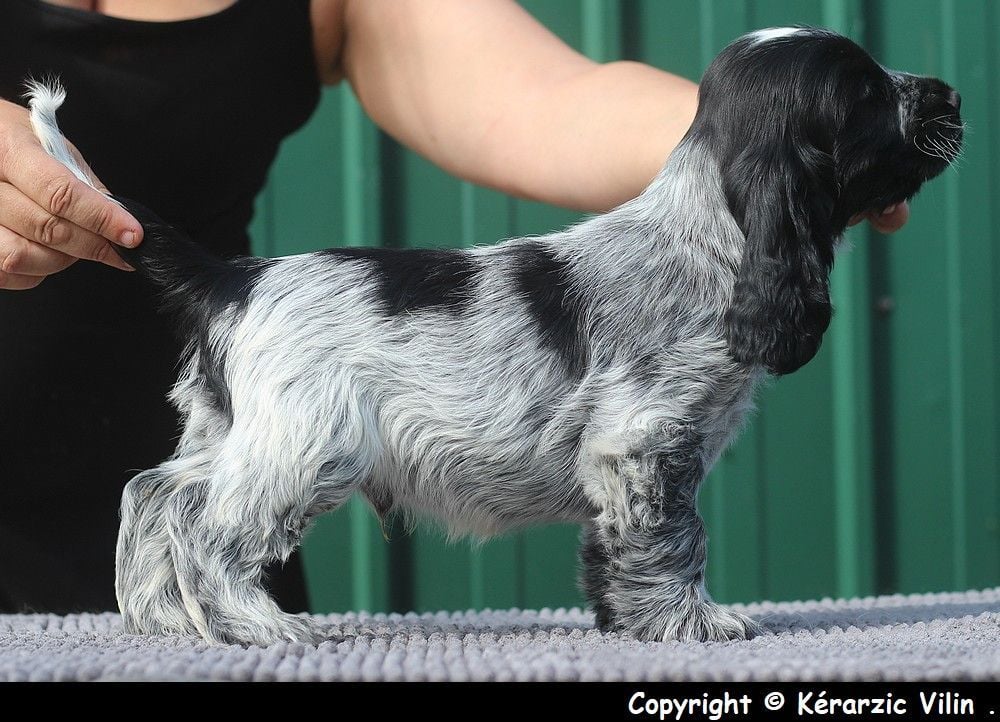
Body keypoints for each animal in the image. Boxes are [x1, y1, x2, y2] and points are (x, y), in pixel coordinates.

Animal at [27, 25, 956, 644]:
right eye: (867, 93)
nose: (947, 92)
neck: (703, 235)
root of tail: (234, 277)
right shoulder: (646, 440)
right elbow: (671, 540)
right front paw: (692, 623)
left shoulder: (624, 458)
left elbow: (613, 545)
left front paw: (623, 623)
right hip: (306, 444)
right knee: (211, 526)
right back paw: (260, 626)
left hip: (231, 427)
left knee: (154, 492)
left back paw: (160, 618)